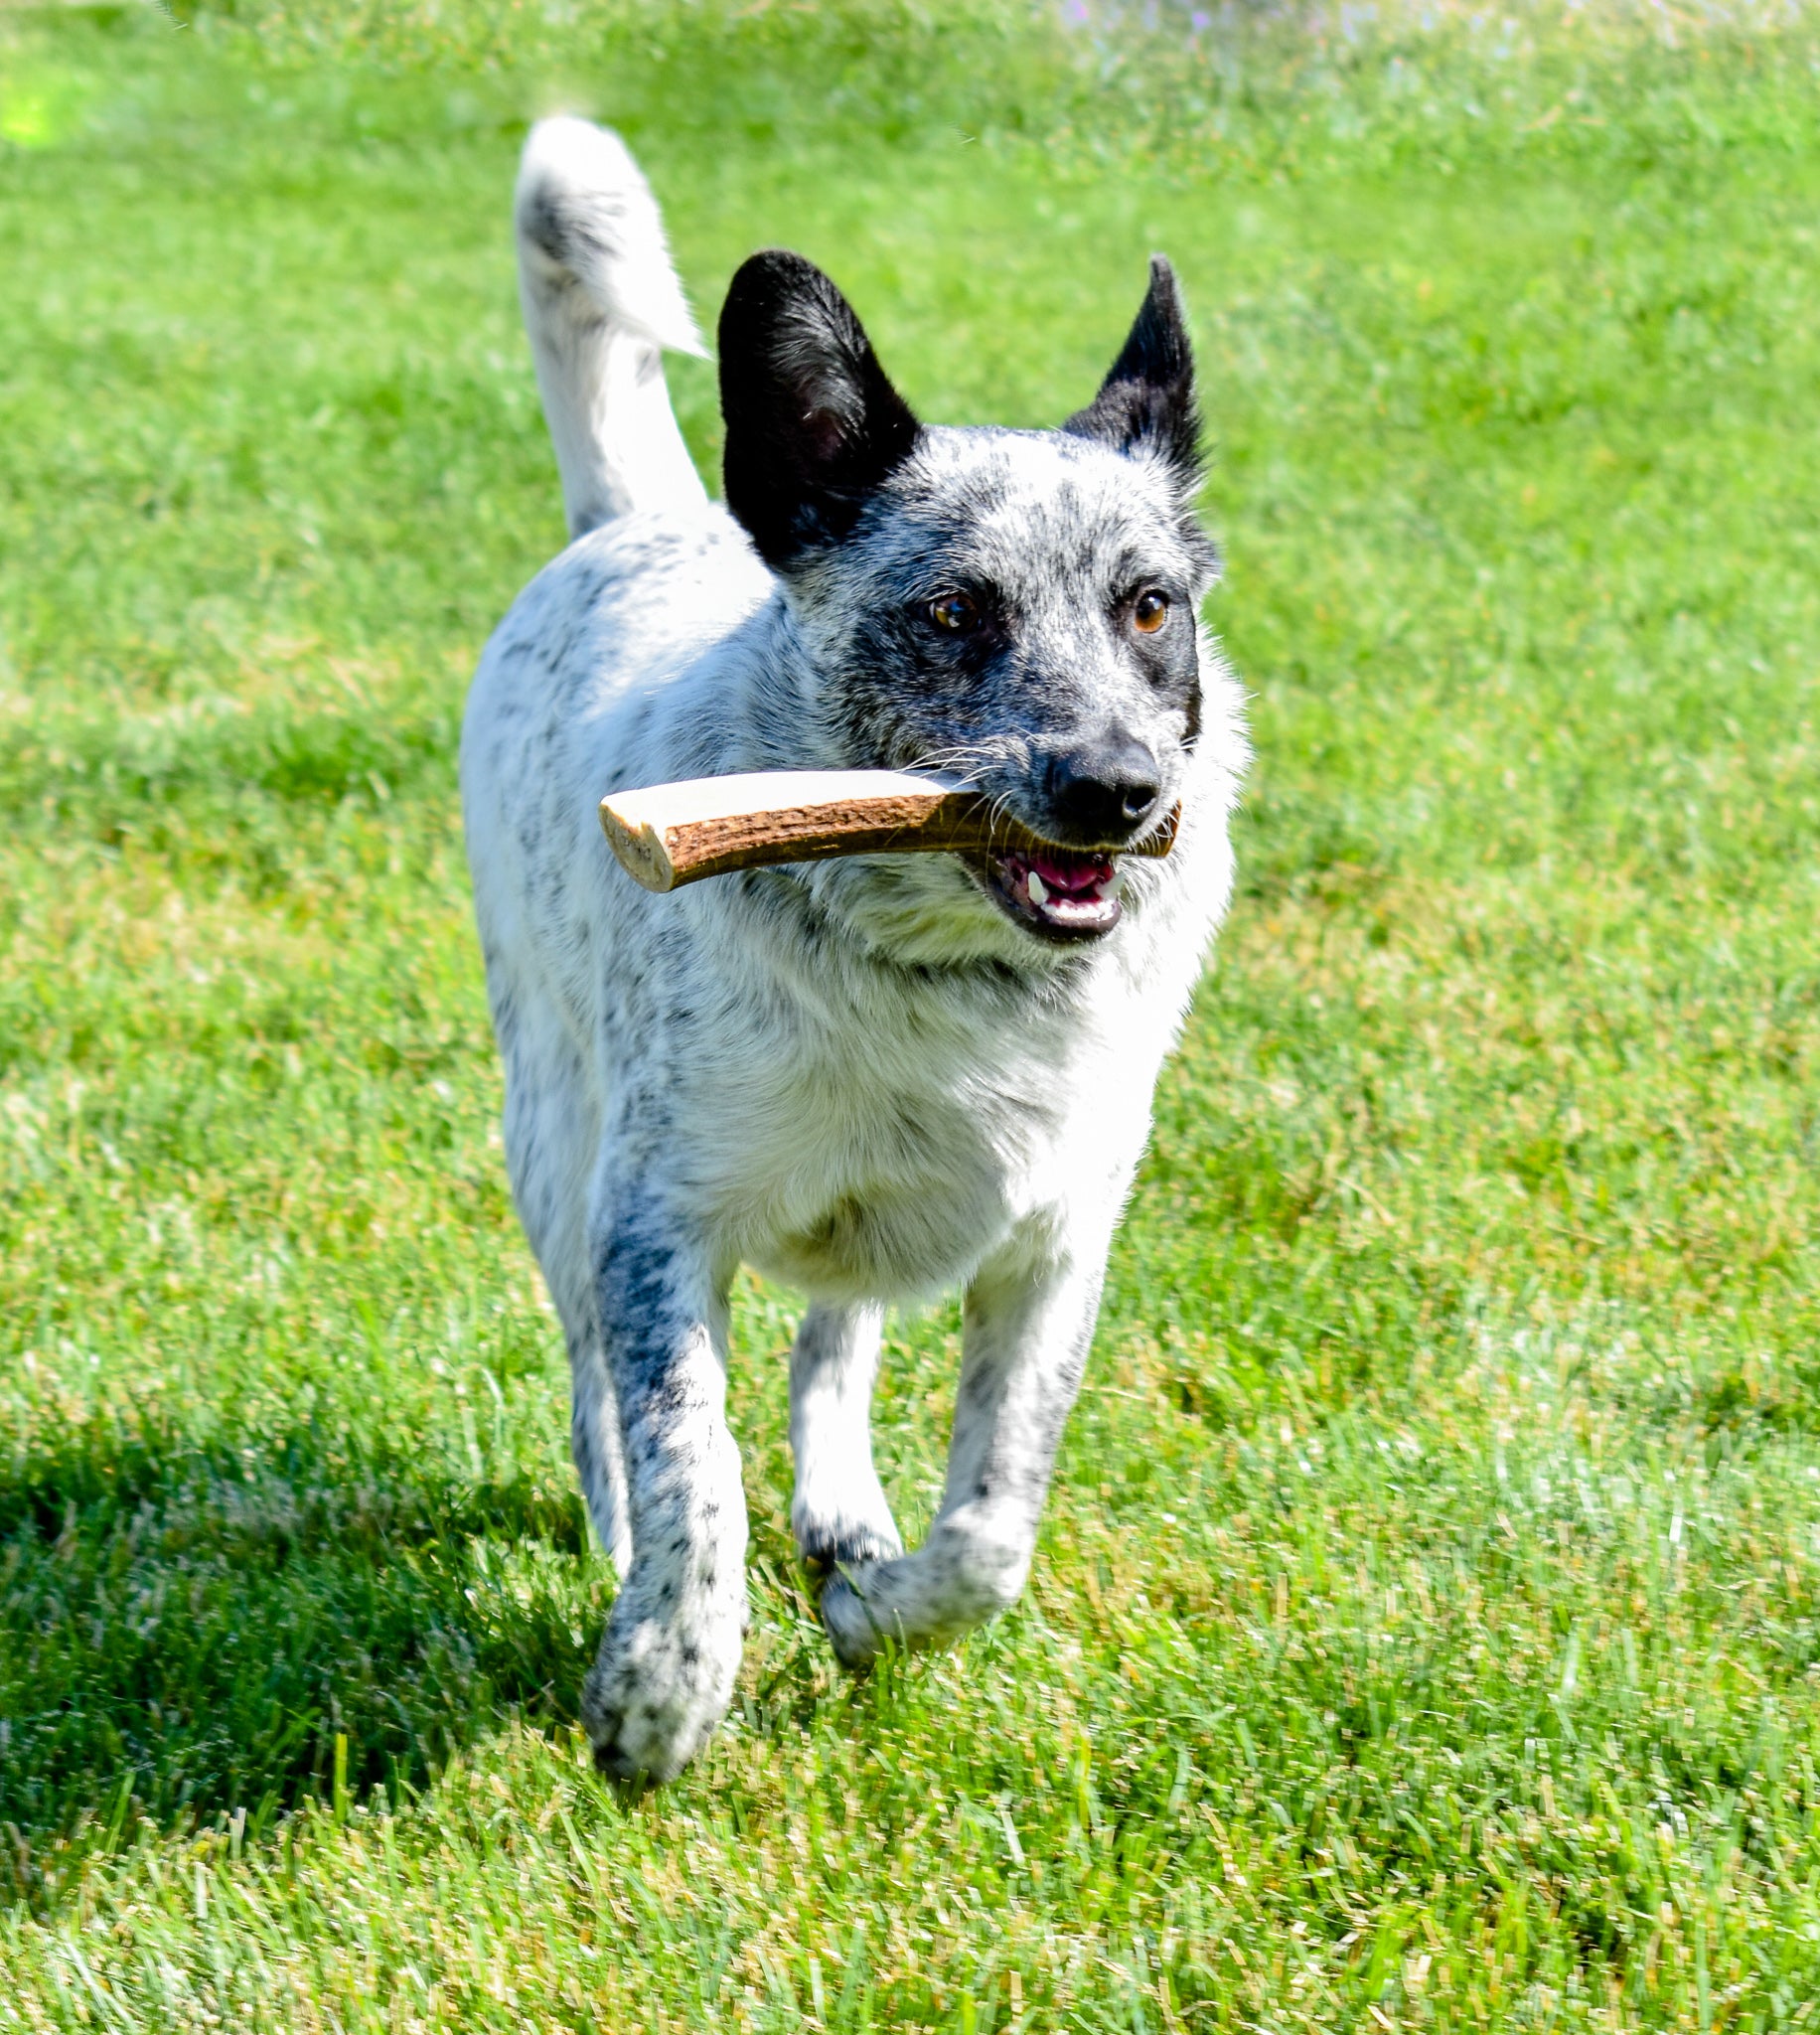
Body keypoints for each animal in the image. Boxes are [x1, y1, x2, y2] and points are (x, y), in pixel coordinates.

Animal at [463, 118, 1244, 1783]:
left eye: (1151, 607)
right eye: (952, 610)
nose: (1120, 790)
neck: (943, 984)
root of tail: (637, 518)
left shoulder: (1055, 1242)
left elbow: (994, 1528)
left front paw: (876, 1609)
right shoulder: (654, 1221)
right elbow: (688, 1461)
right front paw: (661, 1687)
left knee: (836, 1341)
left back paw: (845, 1513)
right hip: (549, 1135)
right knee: (595, 1387)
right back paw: (623, 1546)